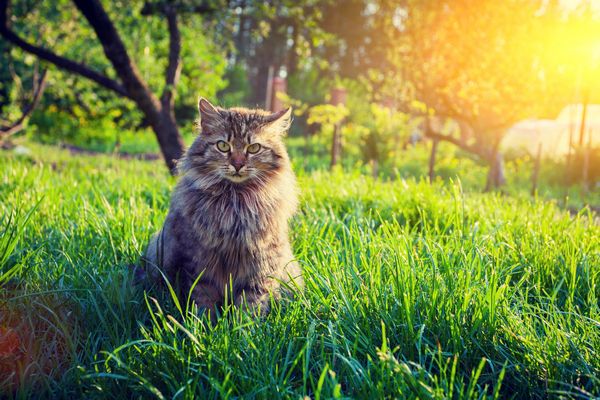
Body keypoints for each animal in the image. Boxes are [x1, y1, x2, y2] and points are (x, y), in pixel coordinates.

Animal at [136, 98, 300, 324]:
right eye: (223, 146)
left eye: (253, 148)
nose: (238, 164)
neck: (235, 202)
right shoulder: (198, 263)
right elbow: (204, 301)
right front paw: (205, 328)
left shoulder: (261, 264)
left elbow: (250, 305)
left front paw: (242, 329)